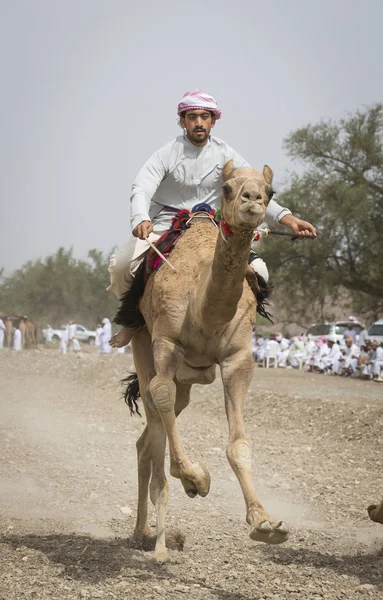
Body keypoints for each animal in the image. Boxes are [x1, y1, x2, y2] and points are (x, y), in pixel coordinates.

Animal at [118, 161, 290, 564]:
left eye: (270, 192)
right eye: (227, 188)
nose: (252, 200)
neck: (203, 307)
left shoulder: (237, 358)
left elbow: (238, 444)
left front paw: (263, 522)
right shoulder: (166, 342)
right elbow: (161, 399)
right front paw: (196, 479)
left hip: (187, 383)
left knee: (149, 436)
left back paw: (148, 533)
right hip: (142, 344)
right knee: (155, 417)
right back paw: (151, 538)